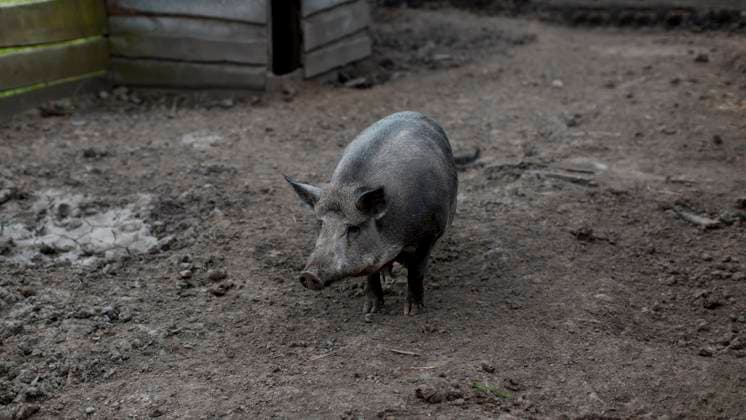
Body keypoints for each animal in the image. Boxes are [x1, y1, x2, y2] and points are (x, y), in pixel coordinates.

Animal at [285, 111, 457, 315]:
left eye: (354, 228)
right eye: (321, 224)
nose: (309, 275)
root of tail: (416, 113)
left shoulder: (429, 235)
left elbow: (416, 272)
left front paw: (411, 312)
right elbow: (371, 273)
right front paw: (370, 310)